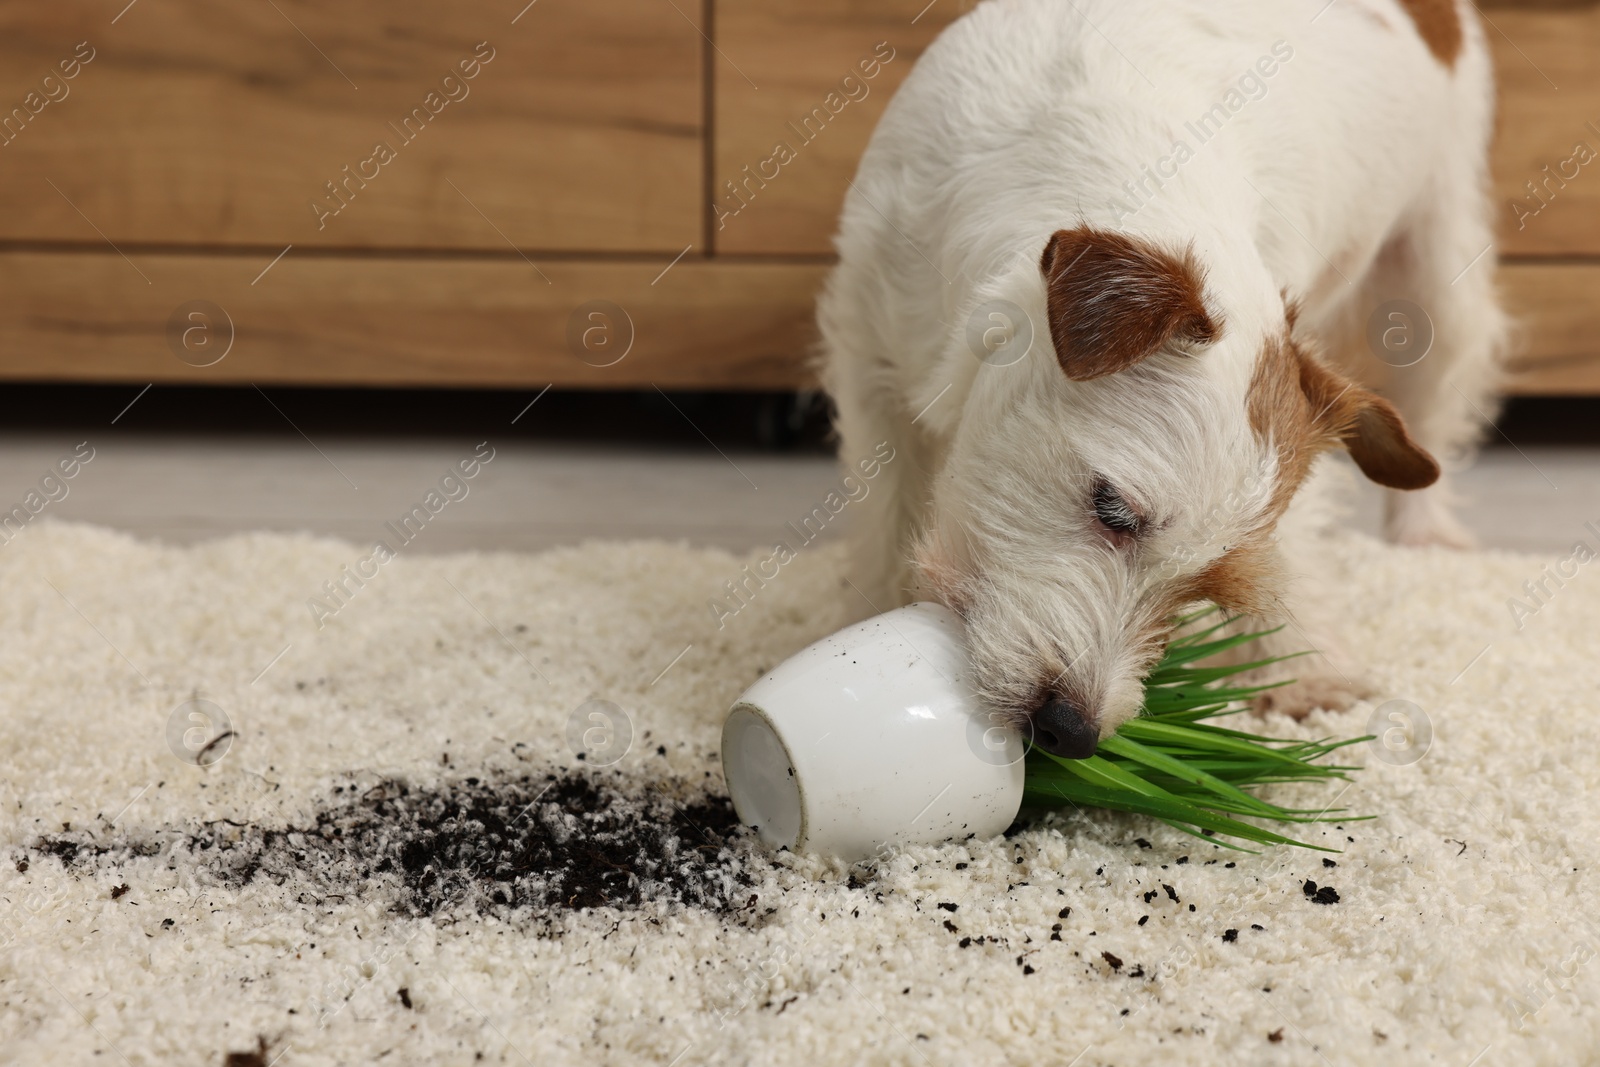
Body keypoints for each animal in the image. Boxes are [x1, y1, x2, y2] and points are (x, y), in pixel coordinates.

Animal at [819, 0, 1504, 758]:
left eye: (1209, 587)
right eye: (1112, 508)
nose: (1071, 731)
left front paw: (1303, 671)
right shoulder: (868, 357)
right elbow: (887, 509)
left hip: (1436, 284)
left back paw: (1425, 533)